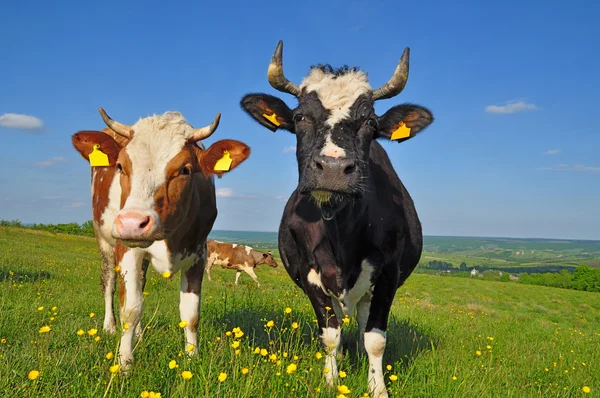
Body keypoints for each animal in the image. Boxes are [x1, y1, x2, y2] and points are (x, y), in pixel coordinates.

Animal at [241, 42, 434, 396]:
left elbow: (375, 338)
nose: (332, 168)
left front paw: (377, 387)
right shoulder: (309, 273)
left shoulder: (388, 273)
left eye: (371, 122)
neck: (340, 231)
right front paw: (331, 380)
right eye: (299, 117)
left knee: (360, 319)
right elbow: (329, 334)